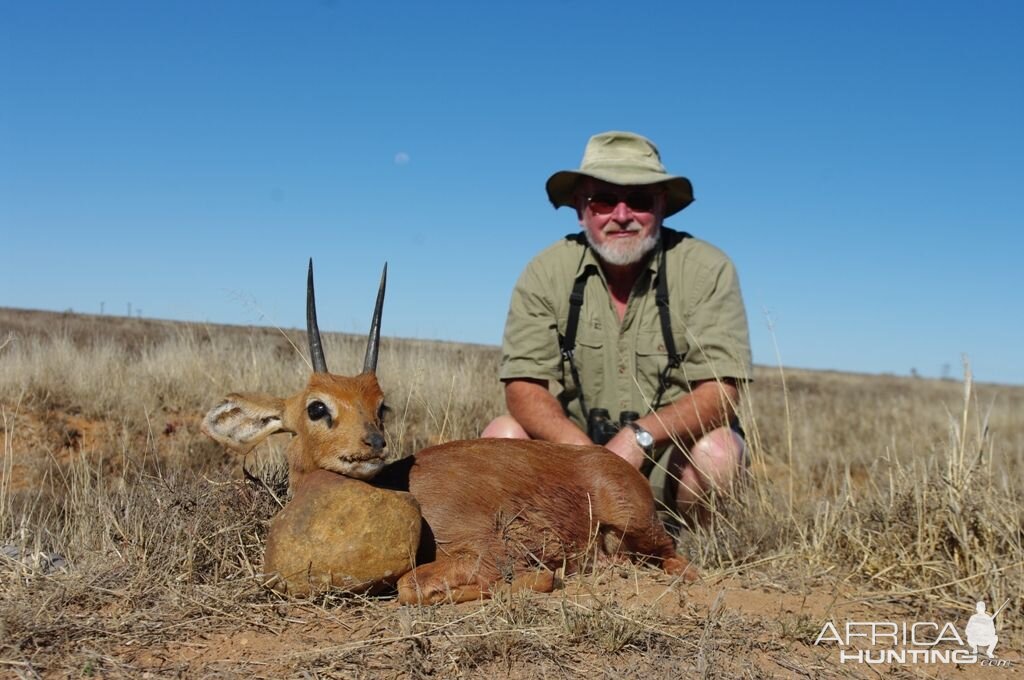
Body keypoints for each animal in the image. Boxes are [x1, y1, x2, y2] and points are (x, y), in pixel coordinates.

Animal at [201, 262, 696, 602]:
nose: (374, 444)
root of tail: (611, 461)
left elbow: (413, 586)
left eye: (381, 405)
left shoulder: (484, 550)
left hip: (640, 526)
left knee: (683, 562)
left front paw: (540, 577)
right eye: (317, 407)